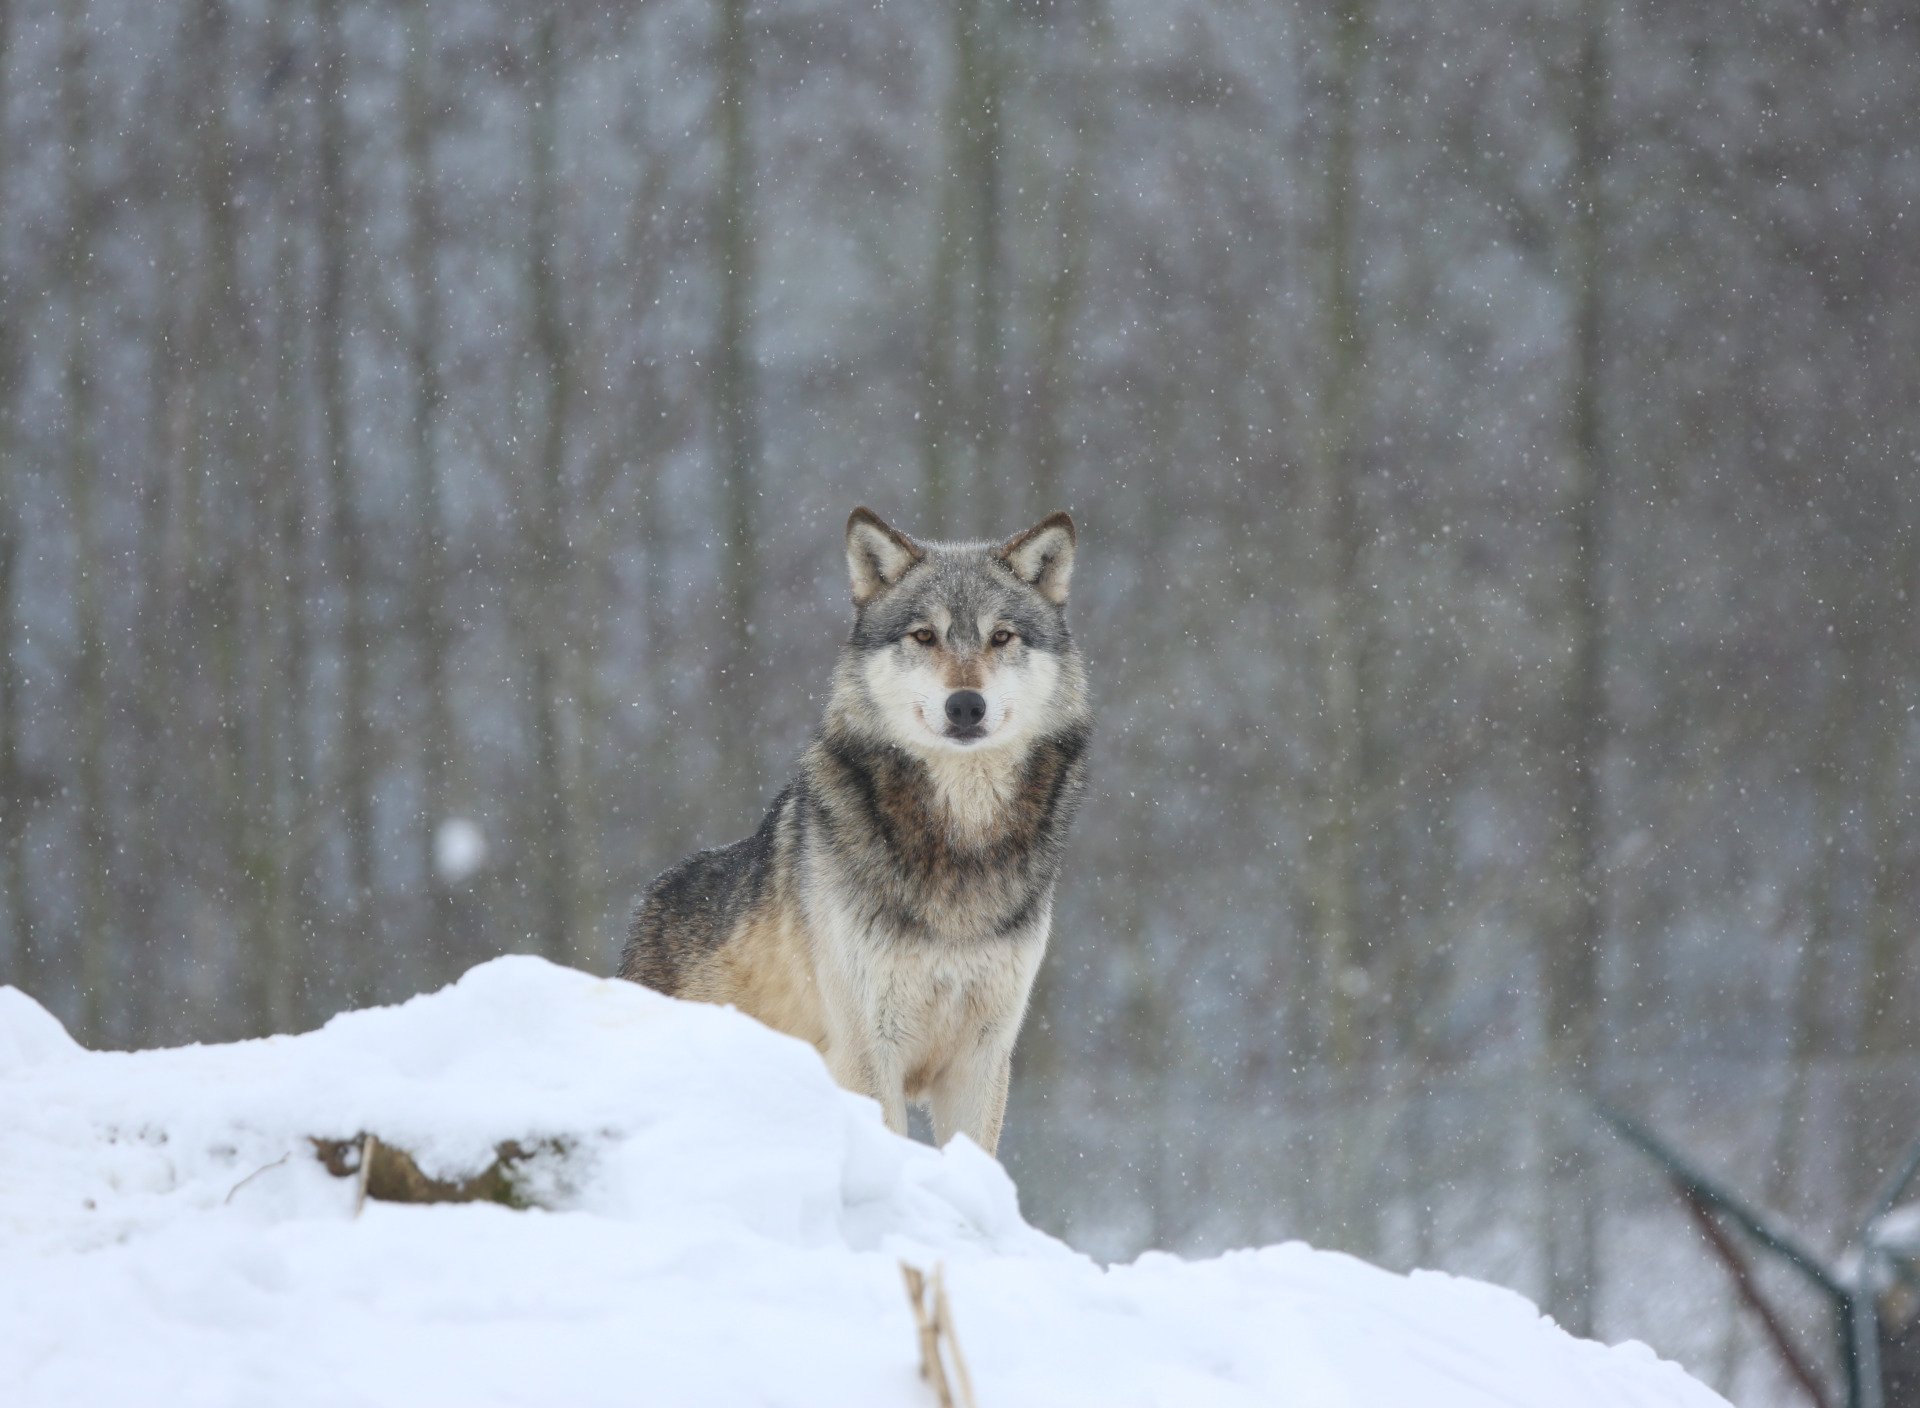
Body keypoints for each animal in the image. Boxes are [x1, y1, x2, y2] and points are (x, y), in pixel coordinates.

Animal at [622, 507, 1090, 1152]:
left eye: (1001, 637)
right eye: (924, 636)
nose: (965, 706)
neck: (959, 842)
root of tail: (648, 902)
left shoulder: (982, 1057)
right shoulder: (868, 1050)